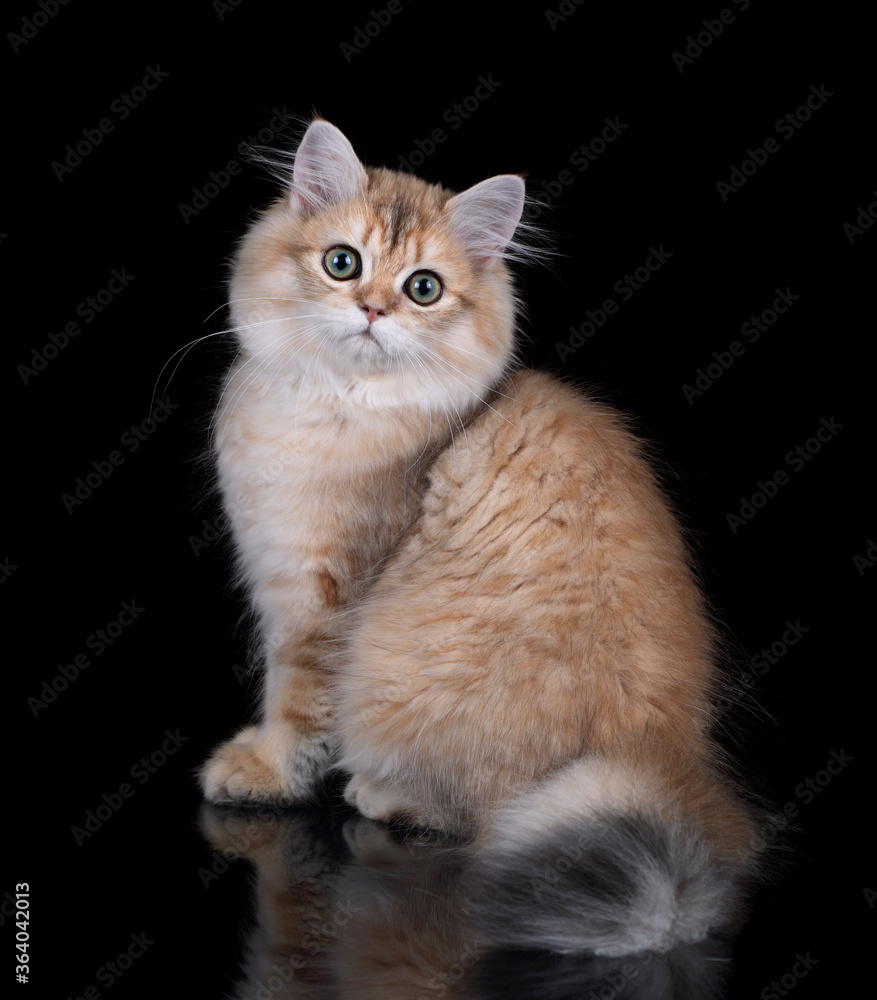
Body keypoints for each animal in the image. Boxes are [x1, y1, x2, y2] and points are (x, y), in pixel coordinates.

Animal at [198, 121, 760, 956]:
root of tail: (662, 768)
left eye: (423, 288)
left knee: (488, 819)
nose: (373, 310)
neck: (335, 405)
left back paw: (385, 794)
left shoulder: (320, 602)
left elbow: (297, 704)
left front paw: (263, 772)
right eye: (342, 264)